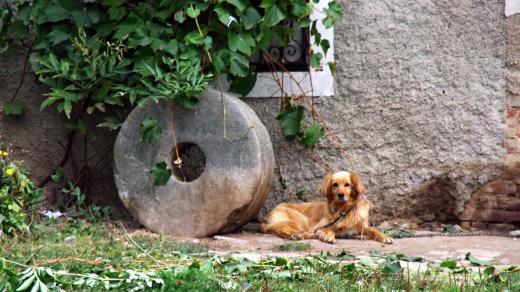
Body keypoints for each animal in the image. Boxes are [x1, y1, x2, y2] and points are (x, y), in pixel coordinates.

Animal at [262, 171, 392, 244]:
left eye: (347, 185)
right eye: (335, 185)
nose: (341, 195)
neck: (343, 210)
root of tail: (270, 212)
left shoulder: (362, 226)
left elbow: (373, 230)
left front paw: (385, 237)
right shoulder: (320, 226)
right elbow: (329, 230)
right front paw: (328, 236)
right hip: (299, 220)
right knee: (287, 231)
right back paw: (299, 236)